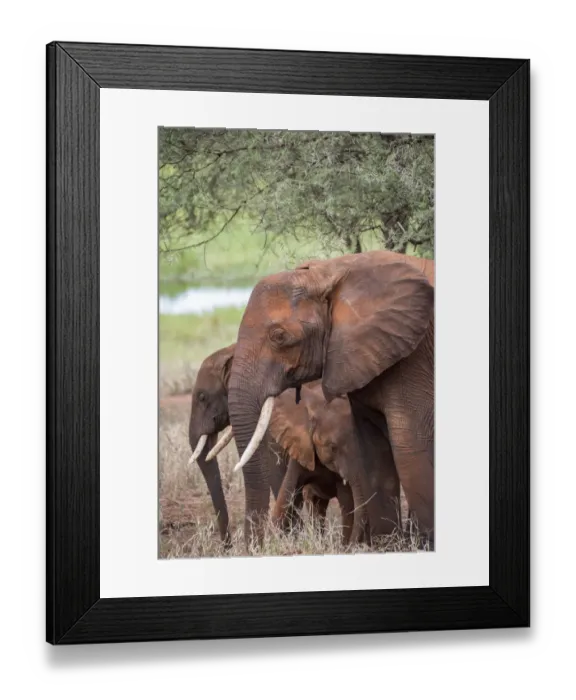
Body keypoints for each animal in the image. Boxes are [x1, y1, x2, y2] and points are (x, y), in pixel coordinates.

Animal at [227, 249, 435, 549]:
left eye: (279, 337)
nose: (255, 549)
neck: (330, 272)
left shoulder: (414, 358)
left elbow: (410, 450)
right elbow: (373, 451)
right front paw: (388, 548)